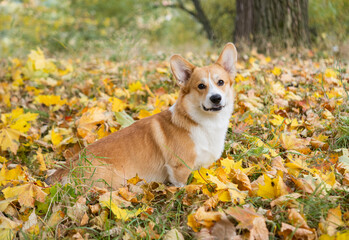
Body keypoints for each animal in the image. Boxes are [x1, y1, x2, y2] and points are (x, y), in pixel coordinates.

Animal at [46, 43, 237, 189]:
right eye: (200, 86)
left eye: (221, 82)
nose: (216, 98)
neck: (201, 121)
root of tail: (65, 169)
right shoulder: (179, 169)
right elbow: (182, 186)